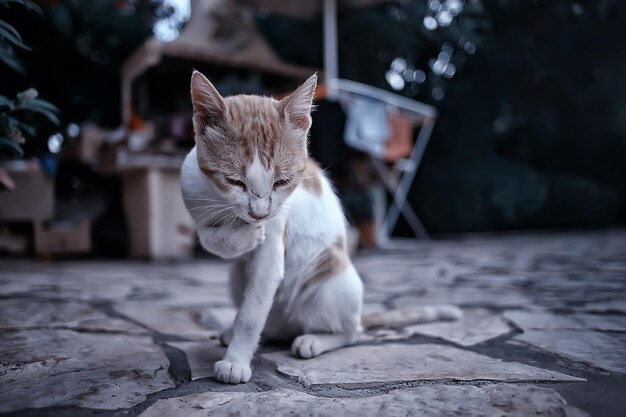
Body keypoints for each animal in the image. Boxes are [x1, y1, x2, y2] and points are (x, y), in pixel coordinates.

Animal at [180, 70, 458, 384]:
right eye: (234, 181)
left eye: (282, 181)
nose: (259, 214)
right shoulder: (193, 196)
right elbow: (208, 237)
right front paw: (240, 235)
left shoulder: (275, 240)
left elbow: (251, 314)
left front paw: (236, 362)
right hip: (239, 279)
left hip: (332, 281)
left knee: (352, 332)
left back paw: (314, 340)